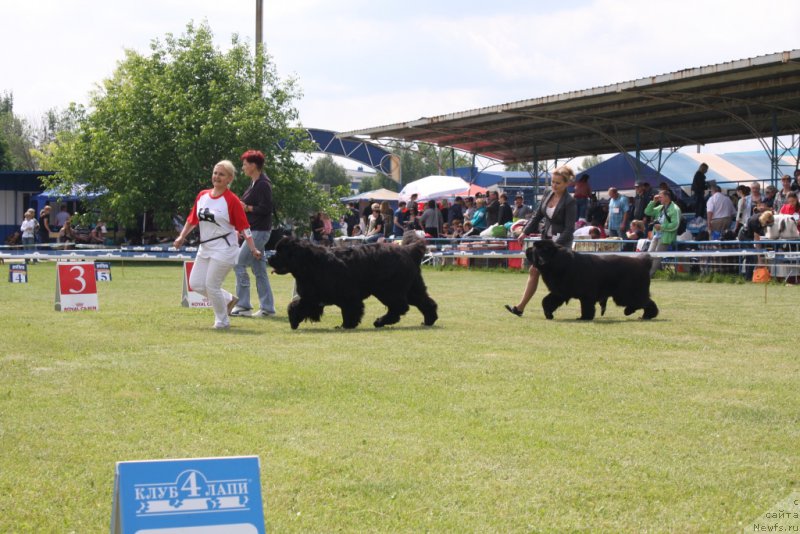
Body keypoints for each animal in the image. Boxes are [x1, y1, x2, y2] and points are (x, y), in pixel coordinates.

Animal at [268, 236, 438, 330]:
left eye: (280, 252)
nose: (269, 258)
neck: (310, 262)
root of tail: (408, 250)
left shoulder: (347, 296)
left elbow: (350, 311)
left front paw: (345, 325)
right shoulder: (312, 297)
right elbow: (296, 306)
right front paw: (294, 321)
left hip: (389, 290)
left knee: (399, 307)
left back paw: (380, 321)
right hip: (412, 288)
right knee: (426, 302)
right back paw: (428, 321)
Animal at [524, 242, 656, 322]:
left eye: (535, 249)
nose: (527, 248)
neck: (558, 263)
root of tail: (643, 262)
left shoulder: (586, 295)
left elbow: (587, 307)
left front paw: (585, 318)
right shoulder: (560, 292)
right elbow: (546, 301)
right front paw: (549, 314)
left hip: (626, 294)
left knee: (643, 302)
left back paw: (638, 313)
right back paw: (644, 315)